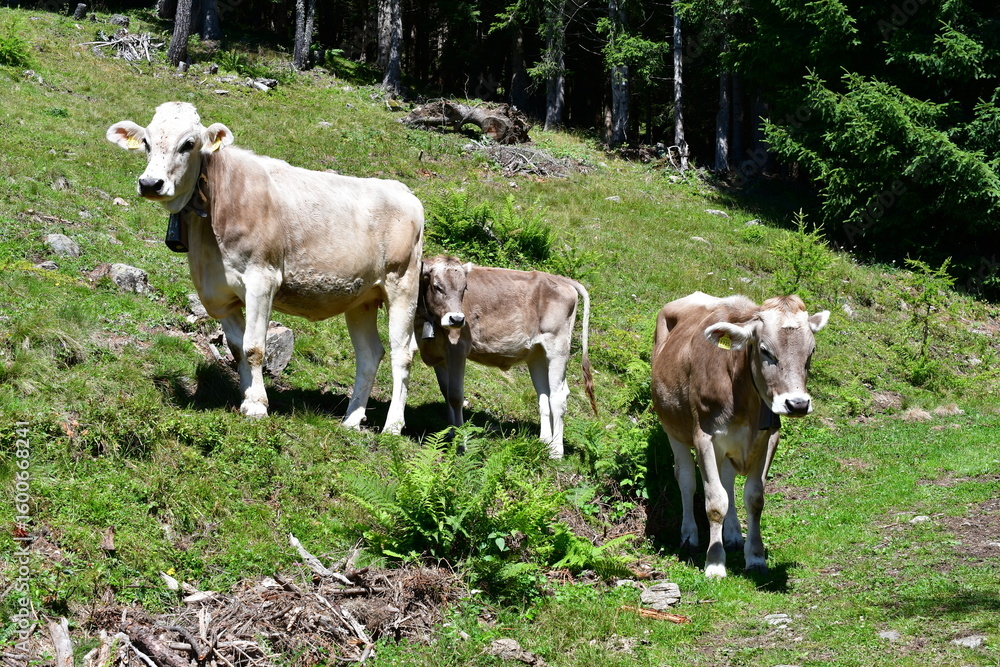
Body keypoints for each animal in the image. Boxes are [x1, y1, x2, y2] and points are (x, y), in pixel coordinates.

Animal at [106, 102, 424, 434]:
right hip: (361, 298)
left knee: (402, 354)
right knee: (369, 355)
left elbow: (254, 347)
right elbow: (236, 348)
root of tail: (403, 191)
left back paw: (393, 425)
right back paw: (351, 420)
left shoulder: (262, 280)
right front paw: (247, 399)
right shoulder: (219, 294)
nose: (150, 183)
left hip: (402, 284)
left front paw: (259, 405)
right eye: (146, 142)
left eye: (188, 144)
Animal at [414, 256, 597, 458]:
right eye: (437, 286)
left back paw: (556, 452)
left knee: (558, 397)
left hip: (557, 347)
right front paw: (450, 434)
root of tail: (560, 279)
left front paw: (461, 444)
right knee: (545, 395)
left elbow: (455, 396)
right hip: (537, 354)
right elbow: (446, 393)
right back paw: (544, 442)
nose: (457, 319)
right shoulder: (439, 356)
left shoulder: (458, 349)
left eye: (464, 288)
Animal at [650, 292, 829, 577]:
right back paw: (689, 536)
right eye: (765, 350)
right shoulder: (704, 437)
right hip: (672, 427)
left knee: (727, 479)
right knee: (686, 478)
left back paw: (733, 534)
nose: (798, 404)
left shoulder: (769, 436)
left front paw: (755, 557)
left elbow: (754, 497)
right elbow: (715, 501)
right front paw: (714, 563)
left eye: (811, 351)